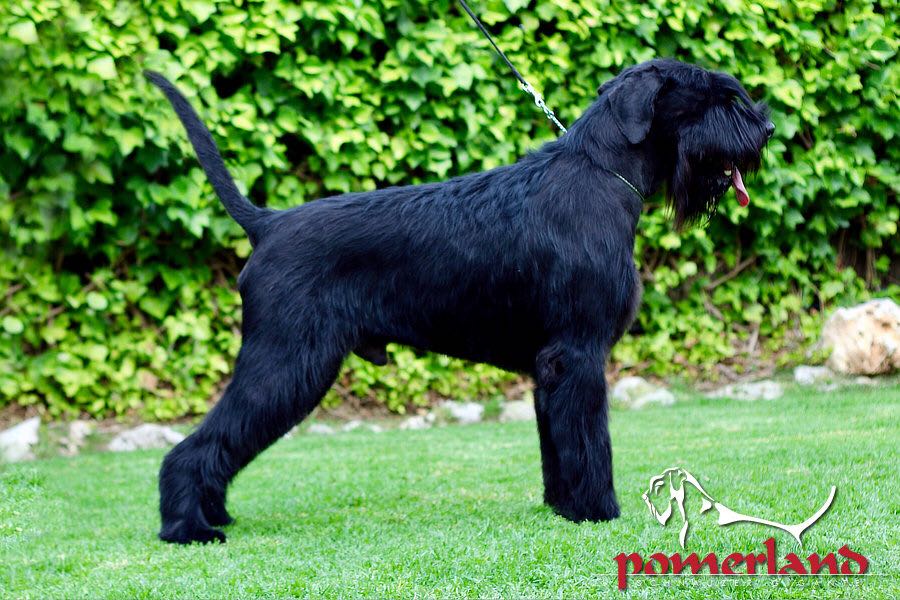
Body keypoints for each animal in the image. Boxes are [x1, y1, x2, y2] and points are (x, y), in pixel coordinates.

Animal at [145, 58, 774, 544]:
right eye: (717, 96)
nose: (765, 127)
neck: (603, 173)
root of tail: (267, 223)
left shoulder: (549, 367)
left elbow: (557, 444)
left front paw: (561, 507)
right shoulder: (579, 354)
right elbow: (589, 440)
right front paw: (599, 512)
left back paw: (213, 512)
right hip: (288, 361)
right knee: (197, 445)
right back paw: (188, 528)